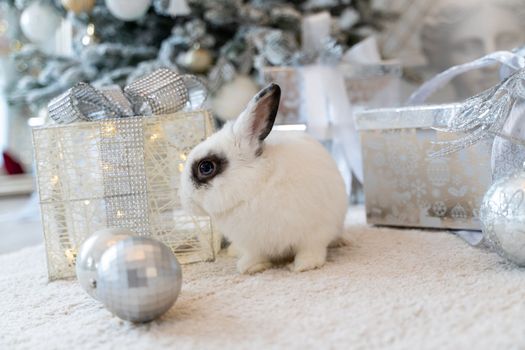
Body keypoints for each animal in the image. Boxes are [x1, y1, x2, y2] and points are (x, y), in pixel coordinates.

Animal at [180, 82, 348, 274]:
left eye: (206, 167)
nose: (184, 201)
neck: (255, 188)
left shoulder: (315, 233)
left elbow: (311, 250)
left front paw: (304, 265)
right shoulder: (252, 244)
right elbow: (255, 255)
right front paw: (249, 267)